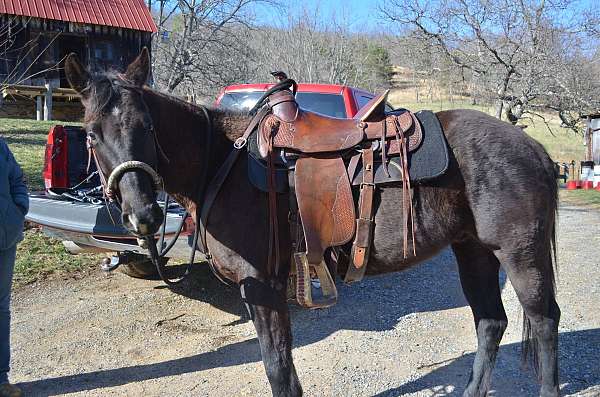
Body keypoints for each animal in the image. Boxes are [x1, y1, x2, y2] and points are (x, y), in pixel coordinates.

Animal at [63, 50, 560, 396]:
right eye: (91, 134)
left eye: (147, 126)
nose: (143, 215)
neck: (221, 162)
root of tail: (535, 149)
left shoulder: (262, 285)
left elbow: (278, 369)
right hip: (474, 251)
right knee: (490, 323)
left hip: (520, 254)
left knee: (544, 320)